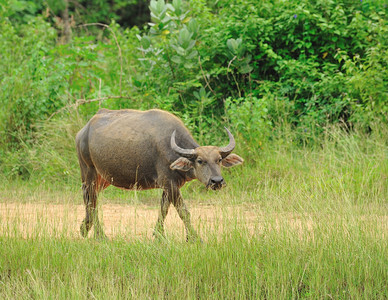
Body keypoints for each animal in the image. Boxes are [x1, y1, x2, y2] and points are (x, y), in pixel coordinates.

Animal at [76, 109, 242, 240]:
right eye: (200, 161)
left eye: (219, 160)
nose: (217, 181)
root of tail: (82, 132)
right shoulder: (169, 183)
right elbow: (183, 212)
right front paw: (194, 238)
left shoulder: (169, 186)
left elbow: (163, 209)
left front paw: (159, 235)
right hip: (88, 171)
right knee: (90, 200)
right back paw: (99, 235)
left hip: (103, 178)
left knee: (92, 199)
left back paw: (85, 227)